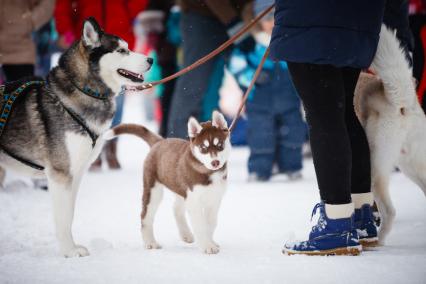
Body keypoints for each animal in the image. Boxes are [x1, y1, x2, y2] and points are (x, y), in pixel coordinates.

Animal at [0, 17, 153, 258]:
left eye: (128, 47)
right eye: (121, 50)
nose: (151, 59)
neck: (84, 91)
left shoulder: (77, 173)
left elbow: (69, 214)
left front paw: (71, 246)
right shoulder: (61, 173)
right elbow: (62, 217)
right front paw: (69, 251)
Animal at [106, 110, 233, 253]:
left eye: (220, 145)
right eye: (203, 148)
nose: (215, 162)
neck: (209, 172)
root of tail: (159, 141)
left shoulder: (214, 199)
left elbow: (211, 223)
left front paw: (211, 242)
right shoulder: (194, 200)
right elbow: (200, 225)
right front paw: (207, 246)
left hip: (179, 188)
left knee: (176, 209)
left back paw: (186, 235)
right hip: (153, 190)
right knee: (145, 216)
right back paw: (150, 242)